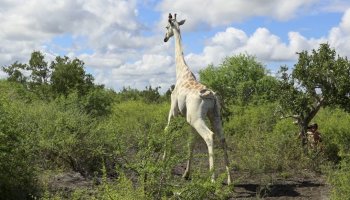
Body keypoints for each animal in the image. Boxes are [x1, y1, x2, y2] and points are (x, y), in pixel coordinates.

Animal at [164, 12, 232, 184]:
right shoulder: (188, 119)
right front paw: (186, 173)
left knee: (210, 136)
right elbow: (191, 143)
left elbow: (167, 131)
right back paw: (229, 180)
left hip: (197, 118)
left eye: (166, 27)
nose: (164, 38)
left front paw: (163, 161)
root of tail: (211, 95)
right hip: (214, 115)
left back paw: (212, 179)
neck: (181, 72)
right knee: (222, 138)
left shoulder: (173, 111)